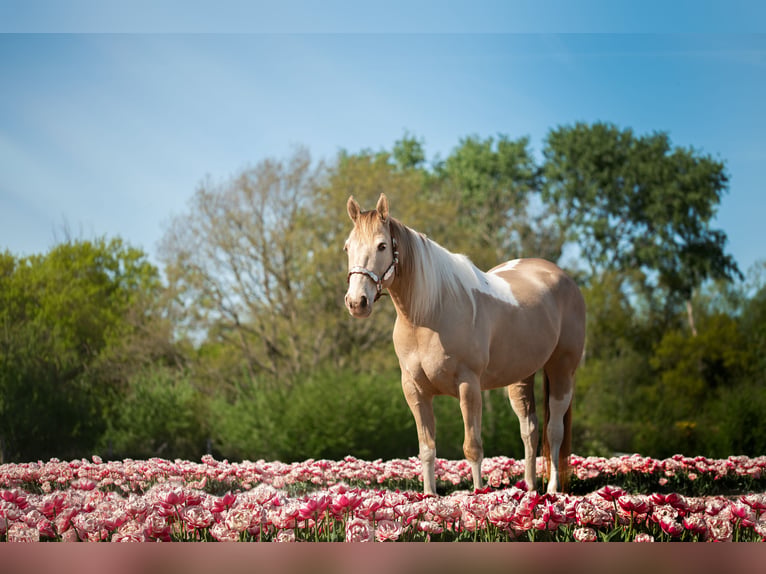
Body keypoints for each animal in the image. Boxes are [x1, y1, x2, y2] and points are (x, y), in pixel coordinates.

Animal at [343, 193, 586, 494]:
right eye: (347, 247)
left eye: (382, 245)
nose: (357, 302)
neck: (430, 314)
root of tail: (560, 277)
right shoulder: (414, 390)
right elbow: (427, 449)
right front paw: (429, 495)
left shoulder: (468, 386)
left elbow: (473, 448)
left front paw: (478, 494)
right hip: (521, 377)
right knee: (529, 429)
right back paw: (529, 489)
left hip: (561, 370)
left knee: (554, 430)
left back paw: (552, 490)